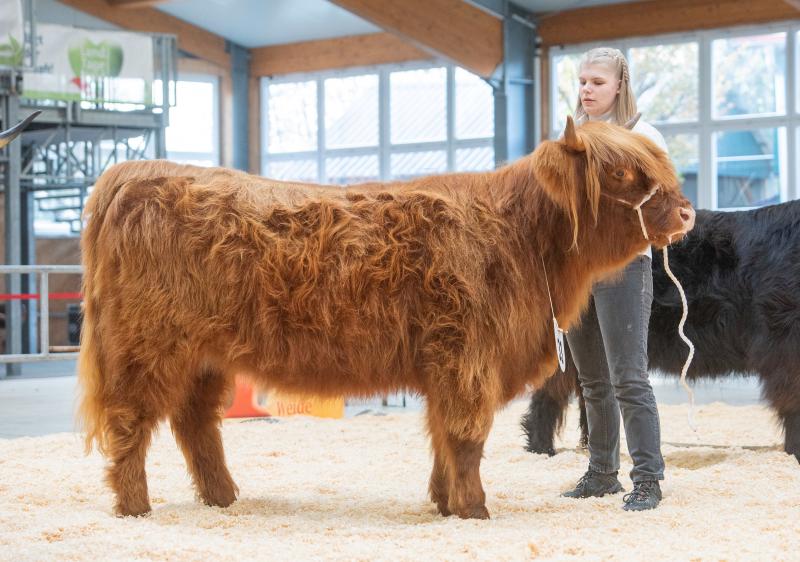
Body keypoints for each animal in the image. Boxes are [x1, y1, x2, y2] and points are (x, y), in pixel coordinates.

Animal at [77, 116, 694, 519]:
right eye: (621, 174)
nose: (687, 211)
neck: (522, 235)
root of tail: (132, 172)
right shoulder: (465, 357)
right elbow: (466, 435)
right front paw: (475, 508)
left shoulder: (449, 364)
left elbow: (444, 435)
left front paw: (446, 503)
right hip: (147, 347)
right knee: (131, 423)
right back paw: (135, 506)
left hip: (203, 356)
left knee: (195, 423)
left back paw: (223, 498)